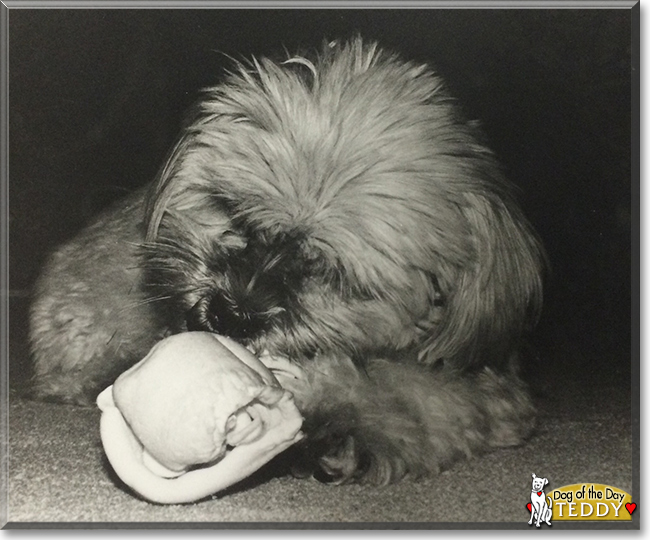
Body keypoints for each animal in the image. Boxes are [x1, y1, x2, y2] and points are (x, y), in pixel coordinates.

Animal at [27, 38, 540, 486]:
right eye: (233, 212)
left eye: (330, 273)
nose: (230, 314)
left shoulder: (485, 390)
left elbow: (417, 393)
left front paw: (346, 421)